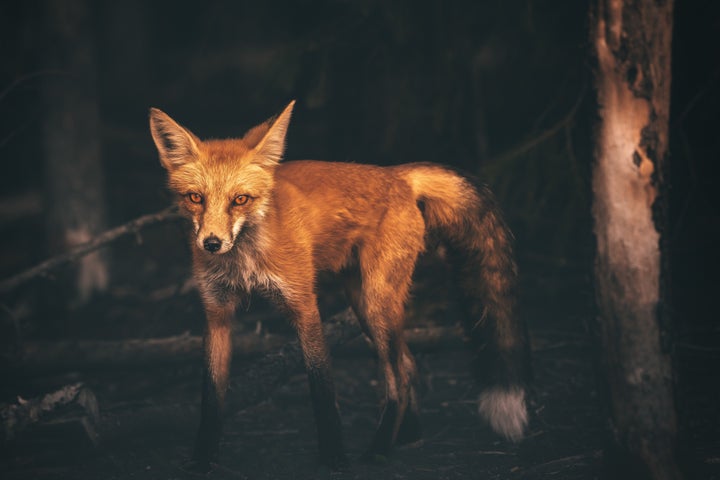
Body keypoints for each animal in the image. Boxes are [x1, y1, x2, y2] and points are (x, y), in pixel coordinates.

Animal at [149, 99, 532, 470]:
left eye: (240, 199)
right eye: (195, 198)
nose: (211, 244)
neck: (244, 259)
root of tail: (397, 174)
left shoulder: (304, 304)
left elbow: (322, 388)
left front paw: (334, 457)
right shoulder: (217, 312)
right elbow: (211, 396)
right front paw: (203, 459)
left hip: (377, 302)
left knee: (398, 378)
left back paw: (379, 449)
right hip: (361, 304)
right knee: (408, 364)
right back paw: (407, 435)